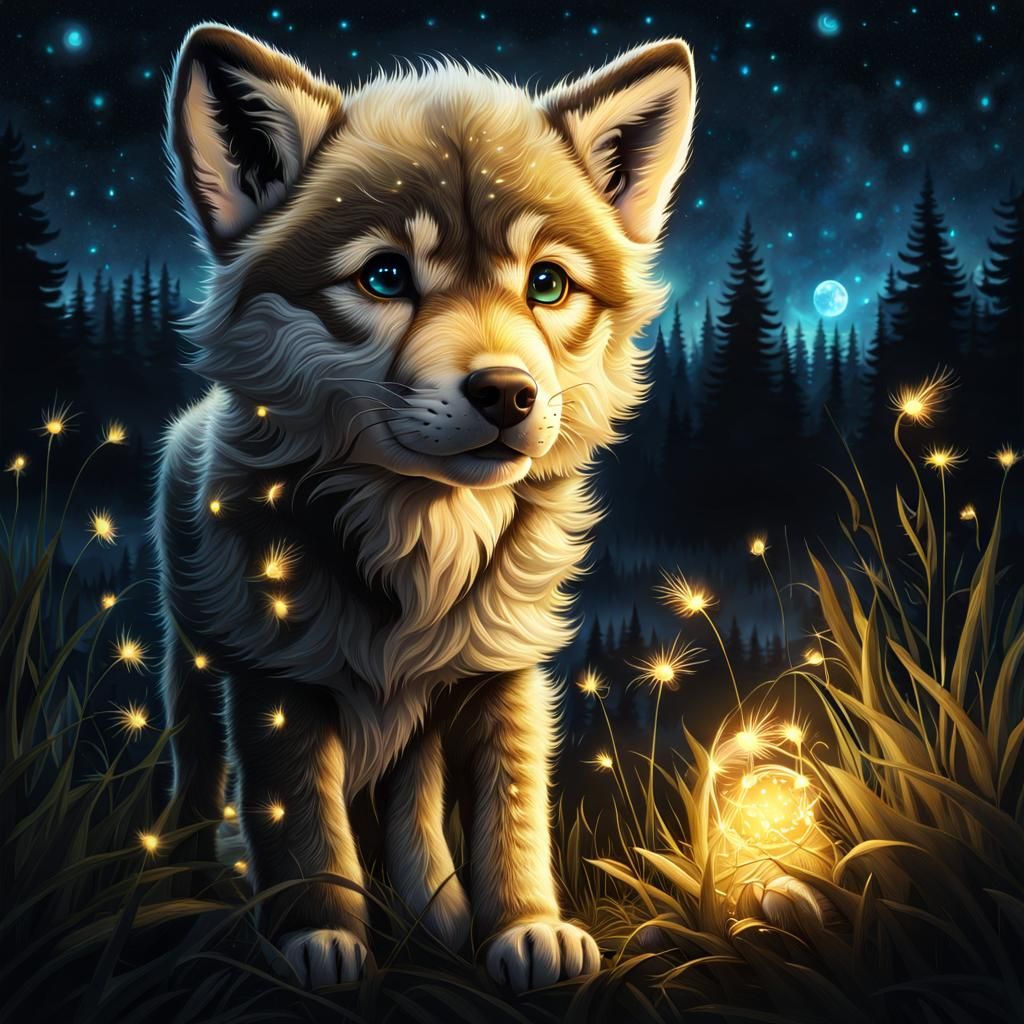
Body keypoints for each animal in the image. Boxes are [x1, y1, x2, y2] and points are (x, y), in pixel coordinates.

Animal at [155, 23, 695, 991]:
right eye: (383, 277)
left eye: (548, 285)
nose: (509, 393)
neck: (421, 536)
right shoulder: (277, 680)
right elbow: (301, 818)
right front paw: (320, 936)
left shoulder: (503, 672)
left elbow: (512, 819)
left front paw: (523, 928)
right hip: (193, 667)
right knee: (195, 771)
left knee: (415, 809)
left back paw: (435, 912)